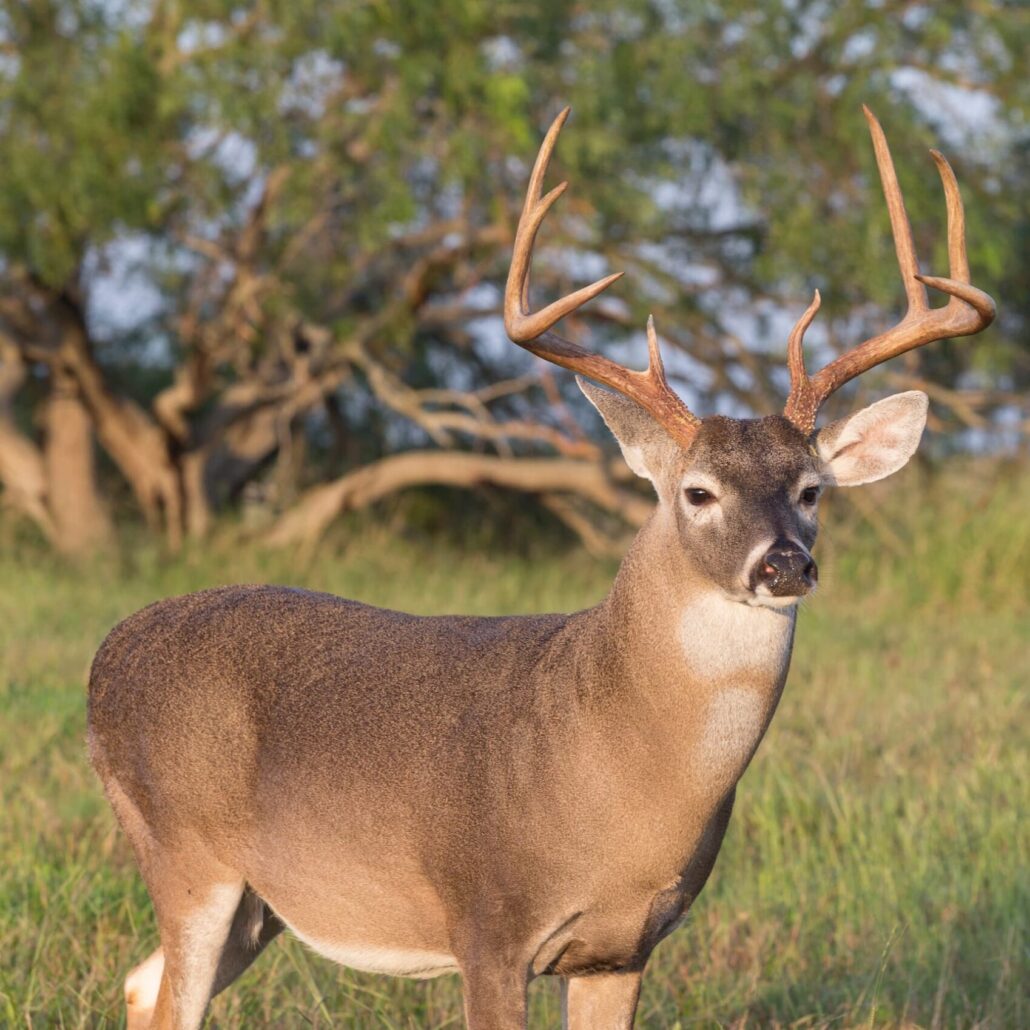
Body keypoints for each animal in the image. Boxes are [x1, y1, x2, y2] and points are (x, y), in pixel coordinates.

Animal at [88, 106, 994, 1030]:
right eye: (698, 492)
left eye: (812, 490)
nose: (784, 564)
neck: (612, 758)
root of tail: (107, 651)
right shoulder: (487, 921)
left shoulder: (621, 948)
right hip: (184, 852)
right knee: (169, 996)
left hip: (258, 903)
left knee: (140, 983)